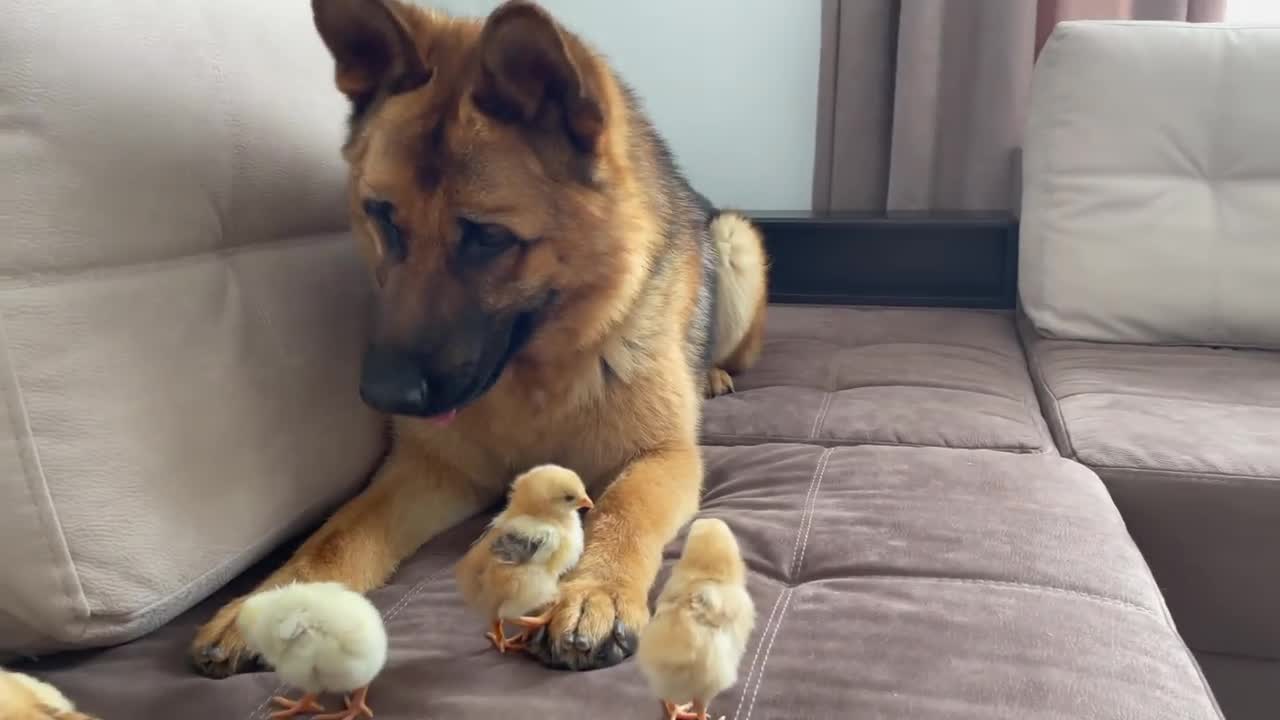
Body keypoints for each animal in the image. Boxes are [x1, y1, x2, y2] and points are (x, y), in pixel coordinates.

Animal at [190, 0, 768, 671]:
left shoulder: (663, 457)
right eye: (382, 216)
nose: (382, 395)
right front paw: (277, 601)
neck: (536, 381)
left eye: (488, 238)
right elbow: (337, 534)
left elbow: (622, 510)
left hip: (735, 240)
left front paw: (594, 590)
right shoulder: (427, 468)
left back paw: (714, 373)